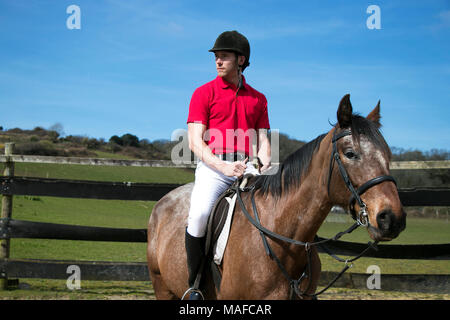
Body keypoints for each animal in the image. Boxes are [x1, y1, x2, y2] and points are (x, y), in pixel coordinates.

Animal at [146, 94, 406, 298]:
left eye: (388, 154)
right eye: (350, 153)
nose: (392, 219)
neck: (283, 236)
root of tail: (164, 200)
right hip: (161, 286)